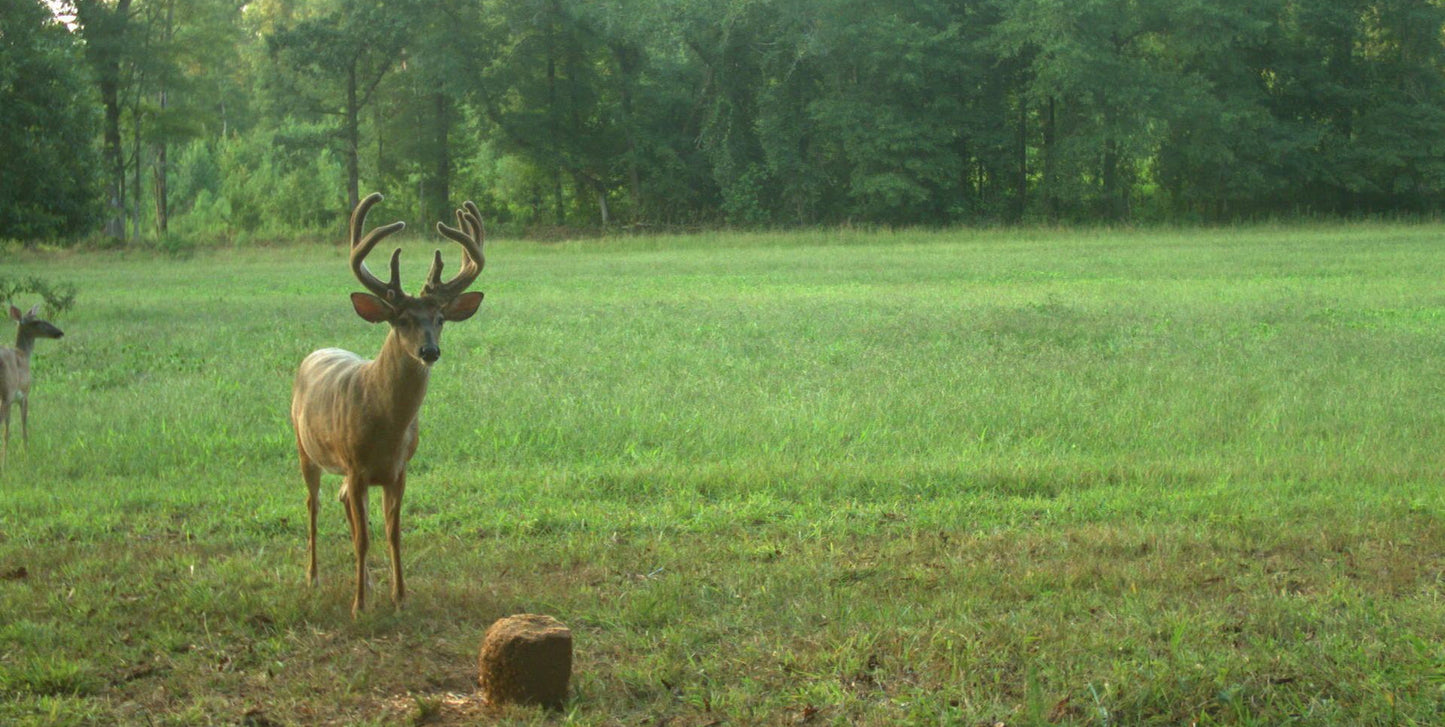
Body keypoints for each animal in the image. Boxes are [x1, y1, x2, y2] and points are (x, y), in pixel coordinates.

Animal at [0, 304, 65, 465]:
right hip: (6, 392)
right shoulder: (23, 395)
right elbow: (23, 425)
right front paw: (26, 454)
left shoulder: (12, 399)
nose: (60, 332)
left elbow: (8, 429)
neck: (24, 354)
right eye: (37, 322)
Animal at [290, 192, 485, 617]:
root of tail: (316, 352)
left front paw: (399, 596)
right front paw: (358, 606)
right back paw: (313, 577)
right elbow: (364, 538)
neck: (386, 425)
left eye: (440, 317)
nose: (429, 351)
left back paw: (366, 580)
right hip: (304, 448)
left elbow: (393, 533)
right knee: (313, 504)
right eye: (400, 320)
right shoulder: (355, 466)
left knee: (340, 502)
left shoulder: (398, 470)